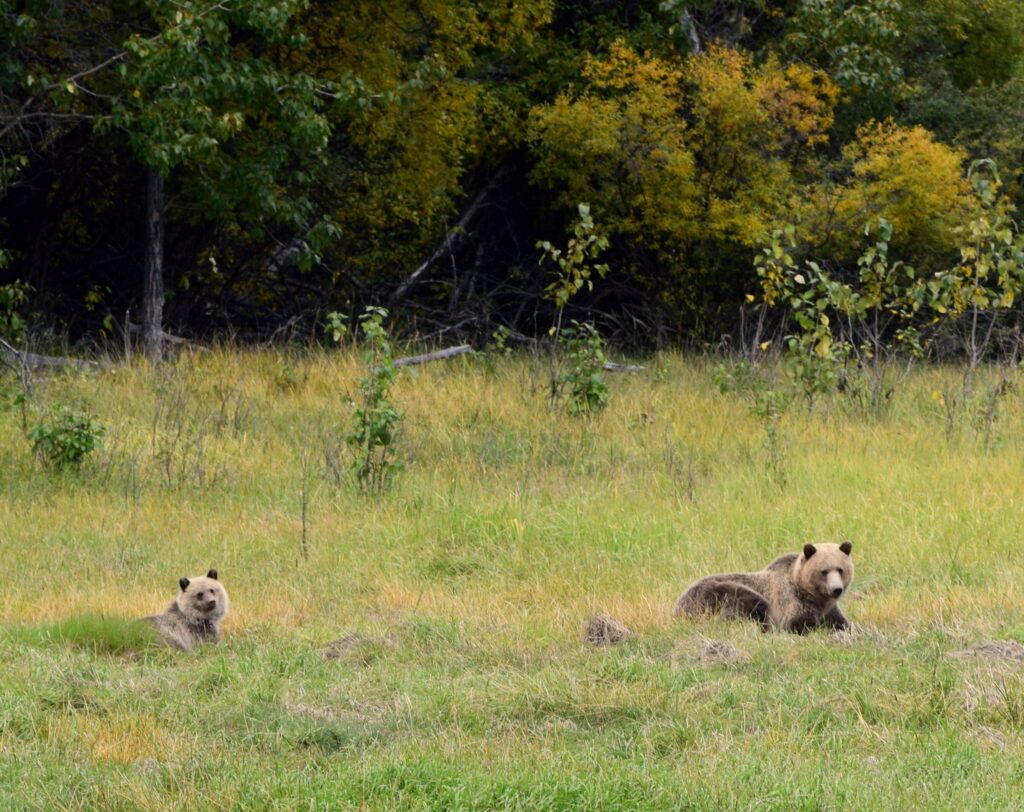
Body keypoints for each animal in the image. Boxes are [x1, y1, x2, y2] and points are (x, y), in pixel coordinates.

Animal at [673, 542, 853, 633]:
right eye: (824, 571)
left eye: (840, 569)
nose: (836, 589)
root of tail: (676, 610)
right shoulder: (791, 600)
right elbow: (796, 623)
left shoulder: (828, 609)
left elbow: (841, 622)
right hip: (711, 594)